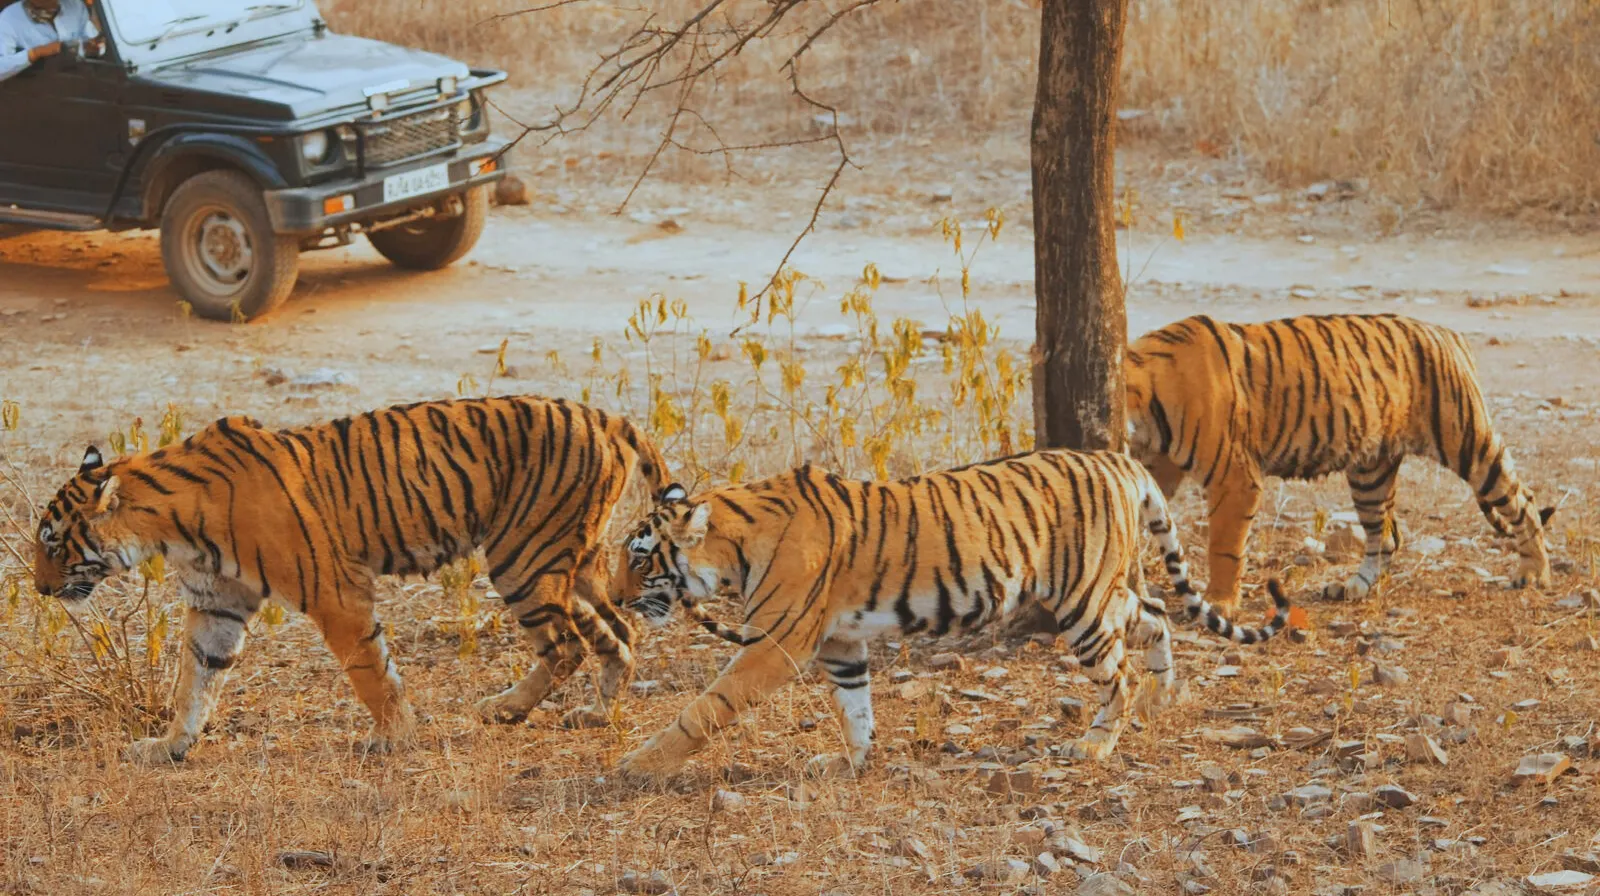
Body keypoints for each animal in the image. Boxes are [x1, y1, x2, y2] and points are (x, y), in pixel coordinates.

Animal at [32, 396, 668, 764]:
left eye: (53, 544)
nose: (39, 589)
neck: (169, 526)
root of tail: (605, 415)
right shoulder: (216, 604)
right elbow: (196, 682)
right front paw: (169, 747)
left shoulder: (332, 591)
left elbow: (370, 672)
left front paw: (393, 737)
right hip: (572, 562)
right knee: (618, 633)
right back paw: (594, 713)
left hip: (522, 557)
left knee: (567, 645)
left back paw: (507, 708)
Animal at [611, 450, 1290, 780]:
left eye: (640, 560)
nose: (615, 600)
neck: (733, 541)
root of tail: (1119, 461)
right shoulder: (838, 643)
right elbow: (855, 708)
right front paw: (851, 763)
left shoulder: (776, 644)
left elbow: (703, 709)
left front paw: (638, 765)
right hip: (1104, 590)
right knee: (1153, 613)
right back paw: (1161, 697)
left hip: (1081, 602)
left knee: (1117, 671)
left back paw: (1095, 745)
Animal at [1124, 312, 1554, 610]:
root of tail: (1448, 333)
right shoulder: (1159, 468)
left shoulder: (1235, 478)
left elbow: (1224, 546)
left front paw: (1219, 602)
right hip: (1370, 472)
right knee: (1386, 536)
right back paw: (1353, 588)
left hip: (1467, 443)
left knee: (1523, 500)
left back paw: (1533, 573)